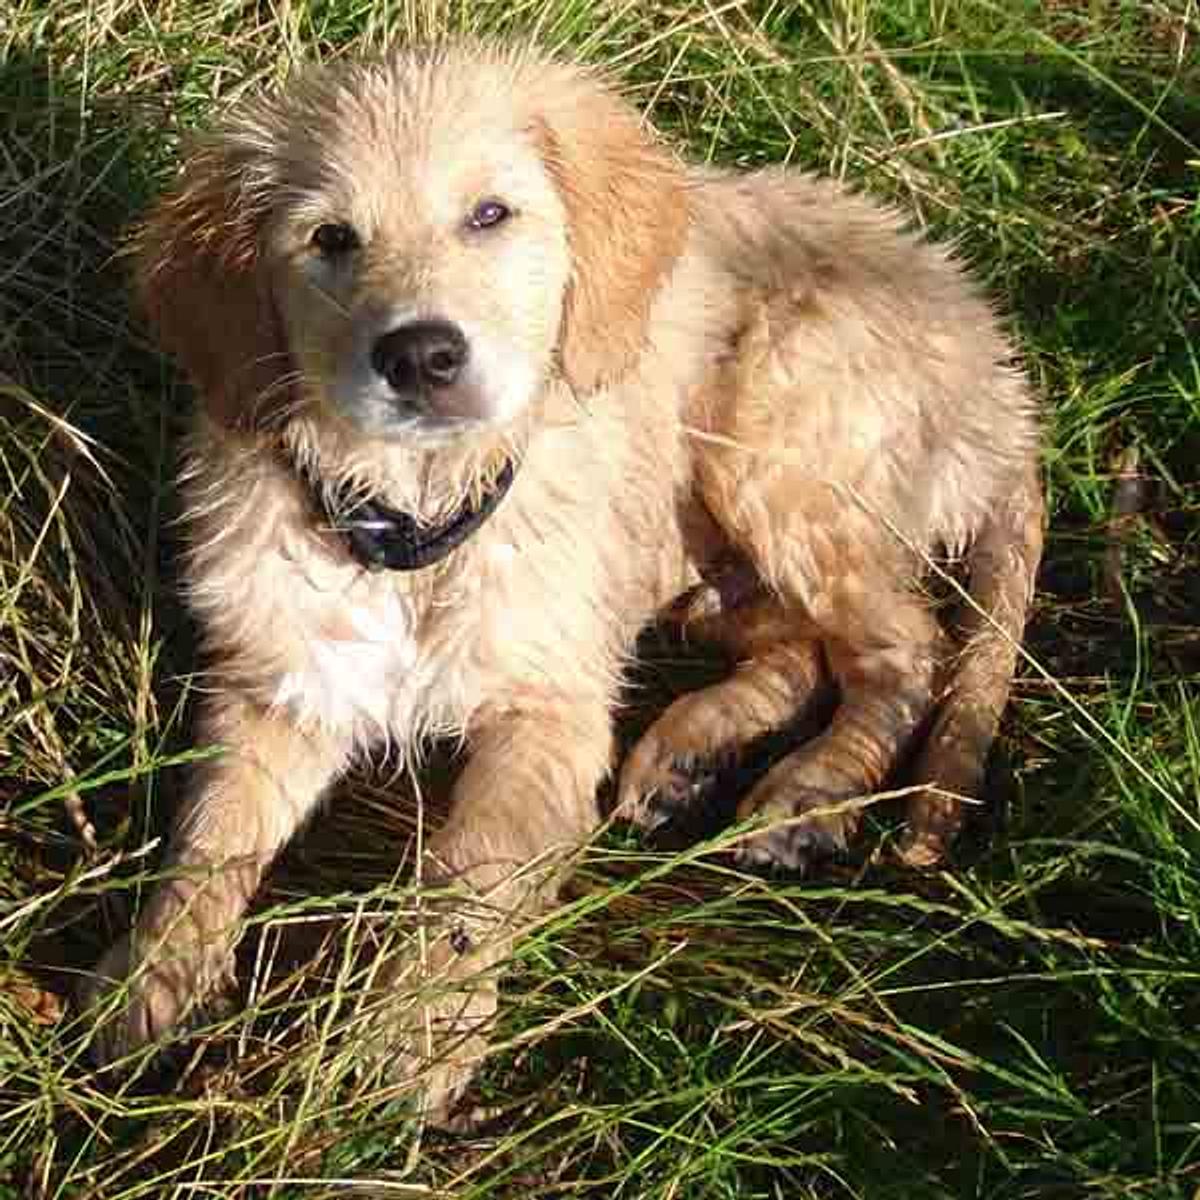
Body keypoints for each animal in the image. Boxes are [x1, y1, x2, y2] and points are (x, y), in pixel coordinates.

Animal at [82, 37, 1041, 1113]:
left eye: (490, 215)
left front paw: (414, 1038)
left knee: (905, 646)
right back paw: (689, 753)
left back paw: (810, 797)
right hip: (696, 560)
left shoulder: (550, 711)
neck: (425, 522)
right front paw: (147, 982)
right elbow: (208, 838)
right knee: (801, 648)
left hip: (775, 432)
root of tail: (1000, 373)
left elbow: (468, 880)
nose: (420, 354)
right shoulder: (284, 684)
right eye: (329, 238)